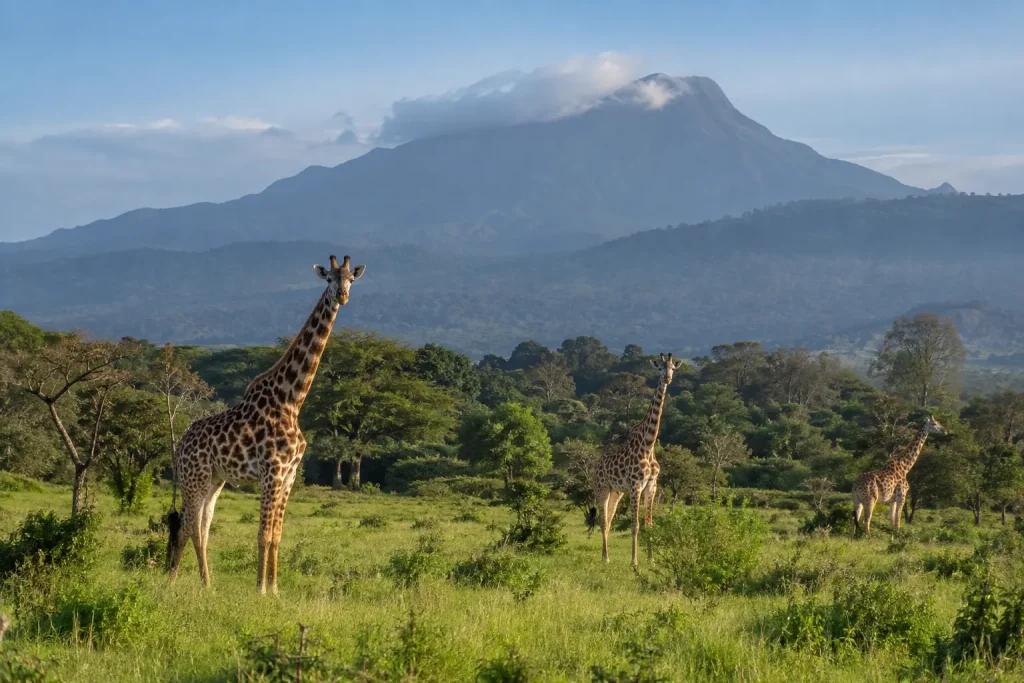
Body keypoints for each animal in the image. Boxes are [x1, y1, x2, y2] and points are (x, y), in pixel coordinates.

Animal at [168, 254, 365, 594]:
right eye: (329, 279)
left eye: (351, 278)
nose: (342, 296)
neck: (291, 400)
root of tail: (180, 447)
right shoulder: (271, 472)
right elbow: (262, 534)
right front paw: (260, 589)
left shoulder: (288, 476)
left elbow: (276, 536)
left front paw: (274, 589)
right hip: (194, 479)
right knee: (189, 526)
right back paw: (188, 584)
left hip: (214, 481)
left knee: (199, 528)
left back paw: (191, 583)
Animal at [591, 353, 682, 566]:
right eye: (660, 368)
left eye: (673, 368)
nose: (668, 378)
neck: (648, 444)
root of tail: (596, 465)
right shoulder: (635, 485)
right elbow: (635, 525)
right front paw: (634, 561)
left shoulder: (651, 484)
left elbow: (649, 524)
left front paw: (651, 559)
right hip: (602, 488)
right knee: (602, 521)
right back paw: (605, 558)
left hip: (616, 492)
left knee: (609, 520)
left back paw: (605, 555)